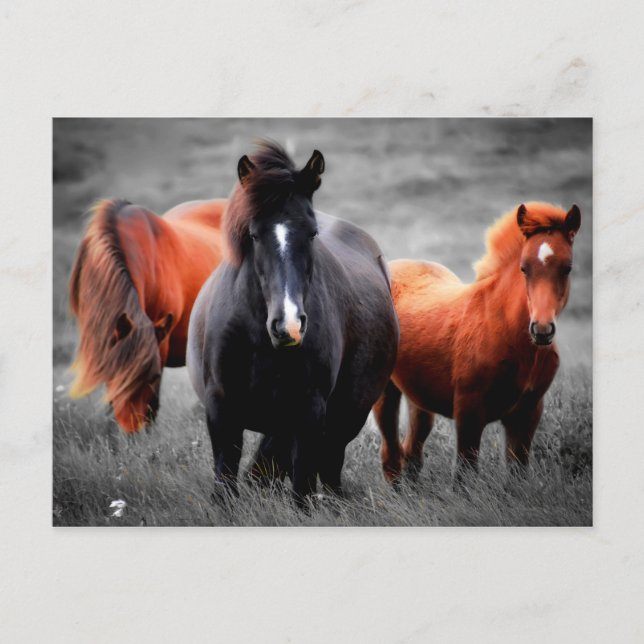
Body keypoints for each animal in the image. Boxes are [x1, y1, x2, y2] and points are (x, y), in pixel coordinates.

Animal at [187, 142, 399, 505]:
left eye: (312, 233)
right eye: (254, 234)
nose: (289, 326)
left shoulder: (309, 412)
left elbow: (302, 489)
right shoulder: (220, 409)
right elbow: (225, 483)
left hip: (345, 418)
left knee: (329, 469)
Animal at [374, 202, 581, 483]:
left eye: (567, 268)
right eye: (524, 267)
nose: (542, 330)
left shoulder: (528, 412)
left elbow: (517, 473)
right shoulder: (468, 411)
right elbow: (464, 474)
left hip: (419, 397)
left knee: (412, 452)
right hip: (385, 391)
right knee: (391, 456)